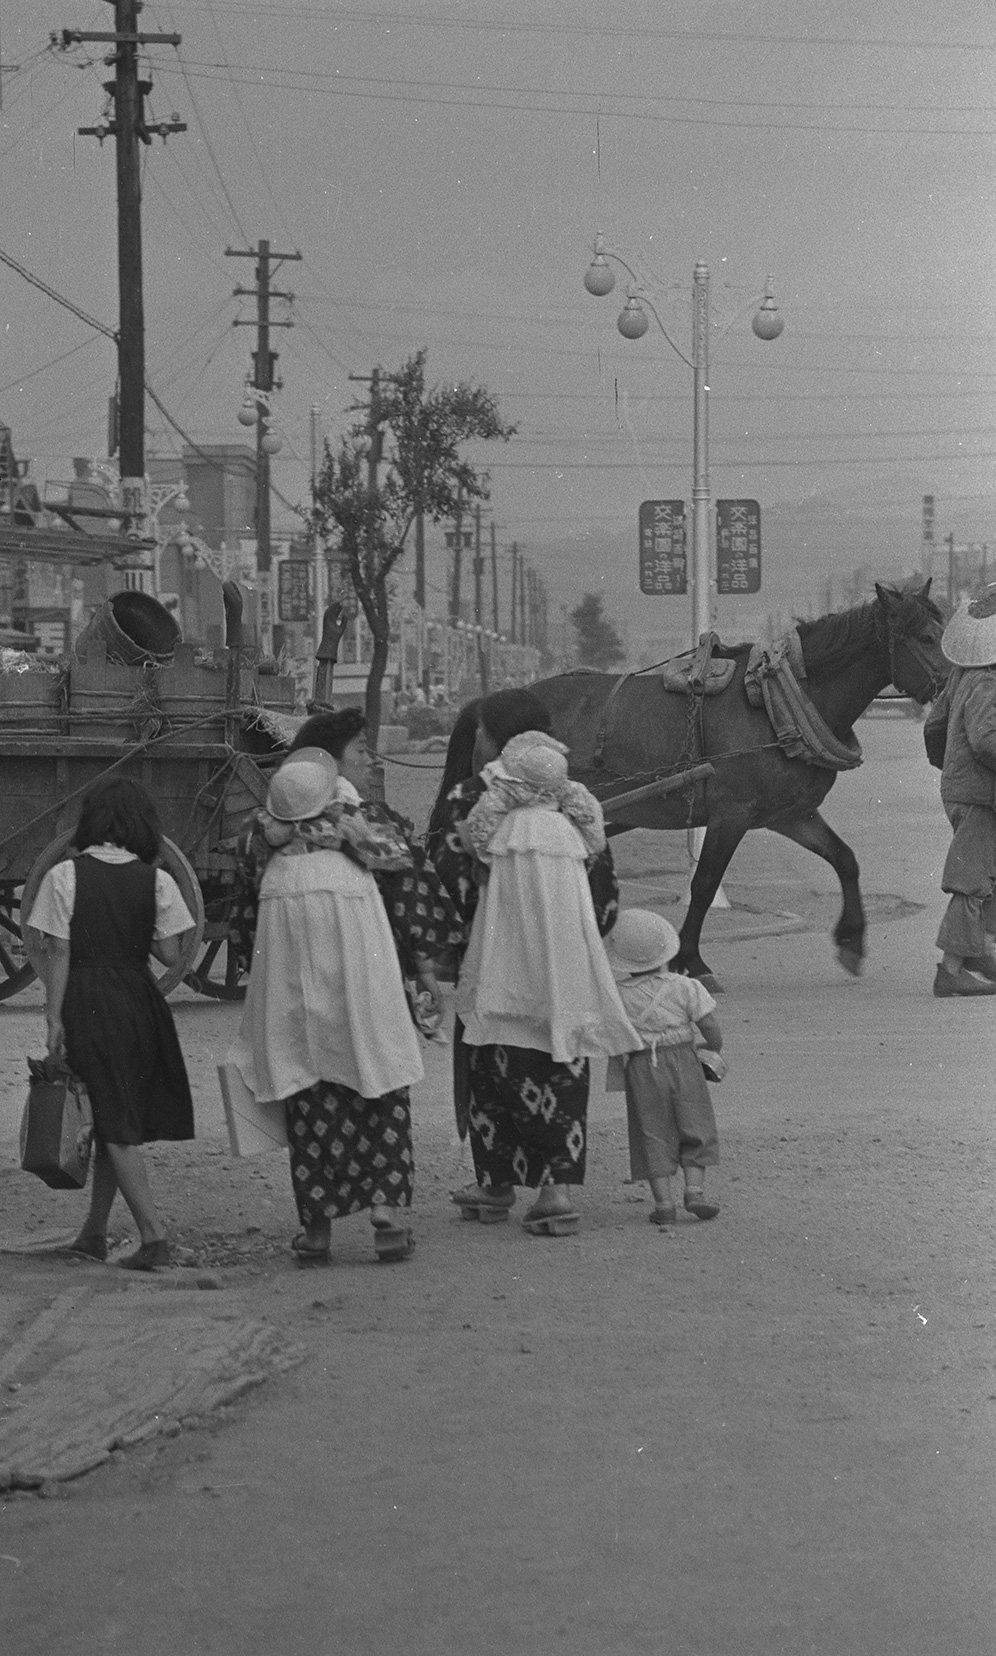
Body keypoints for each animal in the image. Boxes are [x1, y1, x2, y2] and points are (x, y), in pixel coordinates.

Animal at [523, 576, 941, 980]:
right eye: (926, 638)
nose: (950, 680)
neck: (778, 705)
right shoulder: (731, 815)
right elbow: (704, 883)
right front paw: (690, 960)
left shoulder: (790, 815)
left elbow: (845, 859)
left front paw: (851, 942)